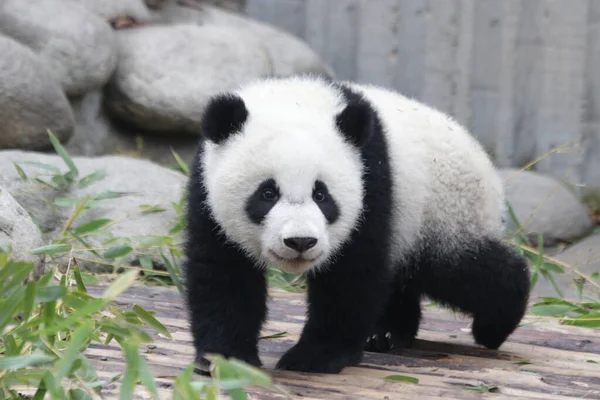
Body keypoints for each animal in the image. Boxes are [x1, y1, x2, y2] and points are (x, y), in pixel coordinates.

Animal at [183, 75, 528, 376]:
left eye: (321, 194)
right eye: (267, 193)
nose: (300, 241)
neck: (296, 99)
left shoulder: (369, 180)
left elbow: (351, 274)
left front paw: (316, 356)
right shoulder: (206, 194)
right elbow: (224, 275)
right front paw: (226, 357)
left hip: (443, 212)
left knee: (458, 269)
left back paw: (495, 324)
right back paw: (388, 333)